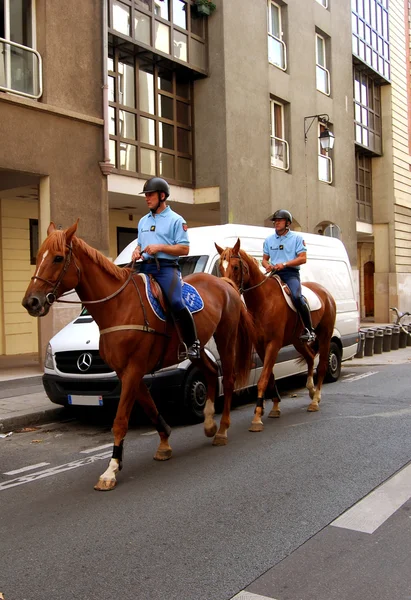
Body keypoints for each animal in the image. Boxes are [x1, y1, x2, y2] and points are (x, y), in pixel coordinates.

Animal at [22, 223, 256, 490]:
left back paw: (222, 430)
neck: (118, 306)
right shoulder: (128, 372)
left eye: (58, 258)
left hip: (226, 338)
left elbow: (120, 420)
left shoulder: (133, 369)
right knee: (209, 371)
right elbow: (150, 406)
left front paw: (111, 469)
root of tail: (225, 282)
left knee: (227, 379)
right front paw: (164, 443)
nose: (31, 301)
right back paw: (208, 422)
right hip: (195, 349)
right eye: (39, 256)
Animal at [217, 238, 336, 432]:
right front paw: (273, 407)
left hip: (325, 336)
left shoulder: (273, 344)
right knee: (311, 358)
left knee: (323, 365)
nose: (227, 288)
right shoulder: (260, 346)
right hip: (298, 341)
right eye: (220, 267)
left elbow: (263, 378)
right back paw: (310, 391)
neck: (263, 301)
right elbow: (270, 377)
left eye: (234, 267)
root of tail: (325, 291)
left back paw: (315, 400)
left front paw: (257, 417)